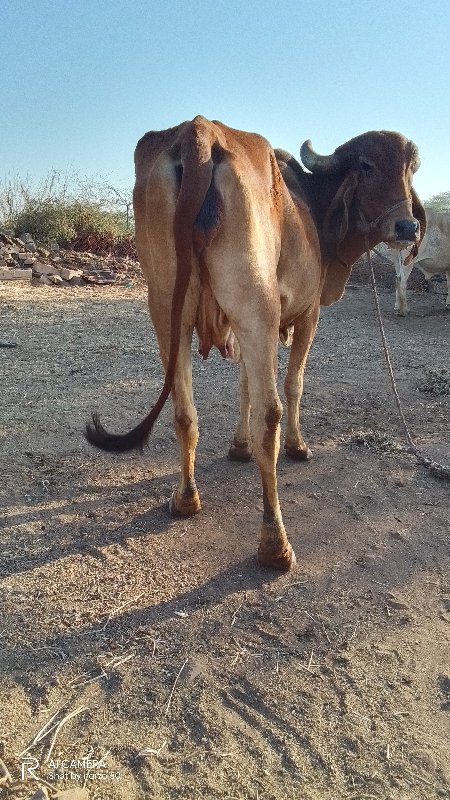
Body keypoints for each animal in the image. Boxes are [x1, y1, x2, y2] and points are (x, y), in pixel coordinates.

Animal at [85, 115, 426, 572]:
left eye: (410, 169)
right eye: (368, 165)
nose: (407, 226)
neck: (310, 207)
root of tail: (201, 133)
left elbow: (243, 386)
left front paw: (238, 446)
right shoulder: (305, 315)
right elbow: (293, 385)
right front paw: (298, 446)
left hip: (167, 312)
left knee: (183, 412)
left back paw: (186, 499)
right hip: (255, 306)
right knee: (271, 414)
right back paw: (275, 543)